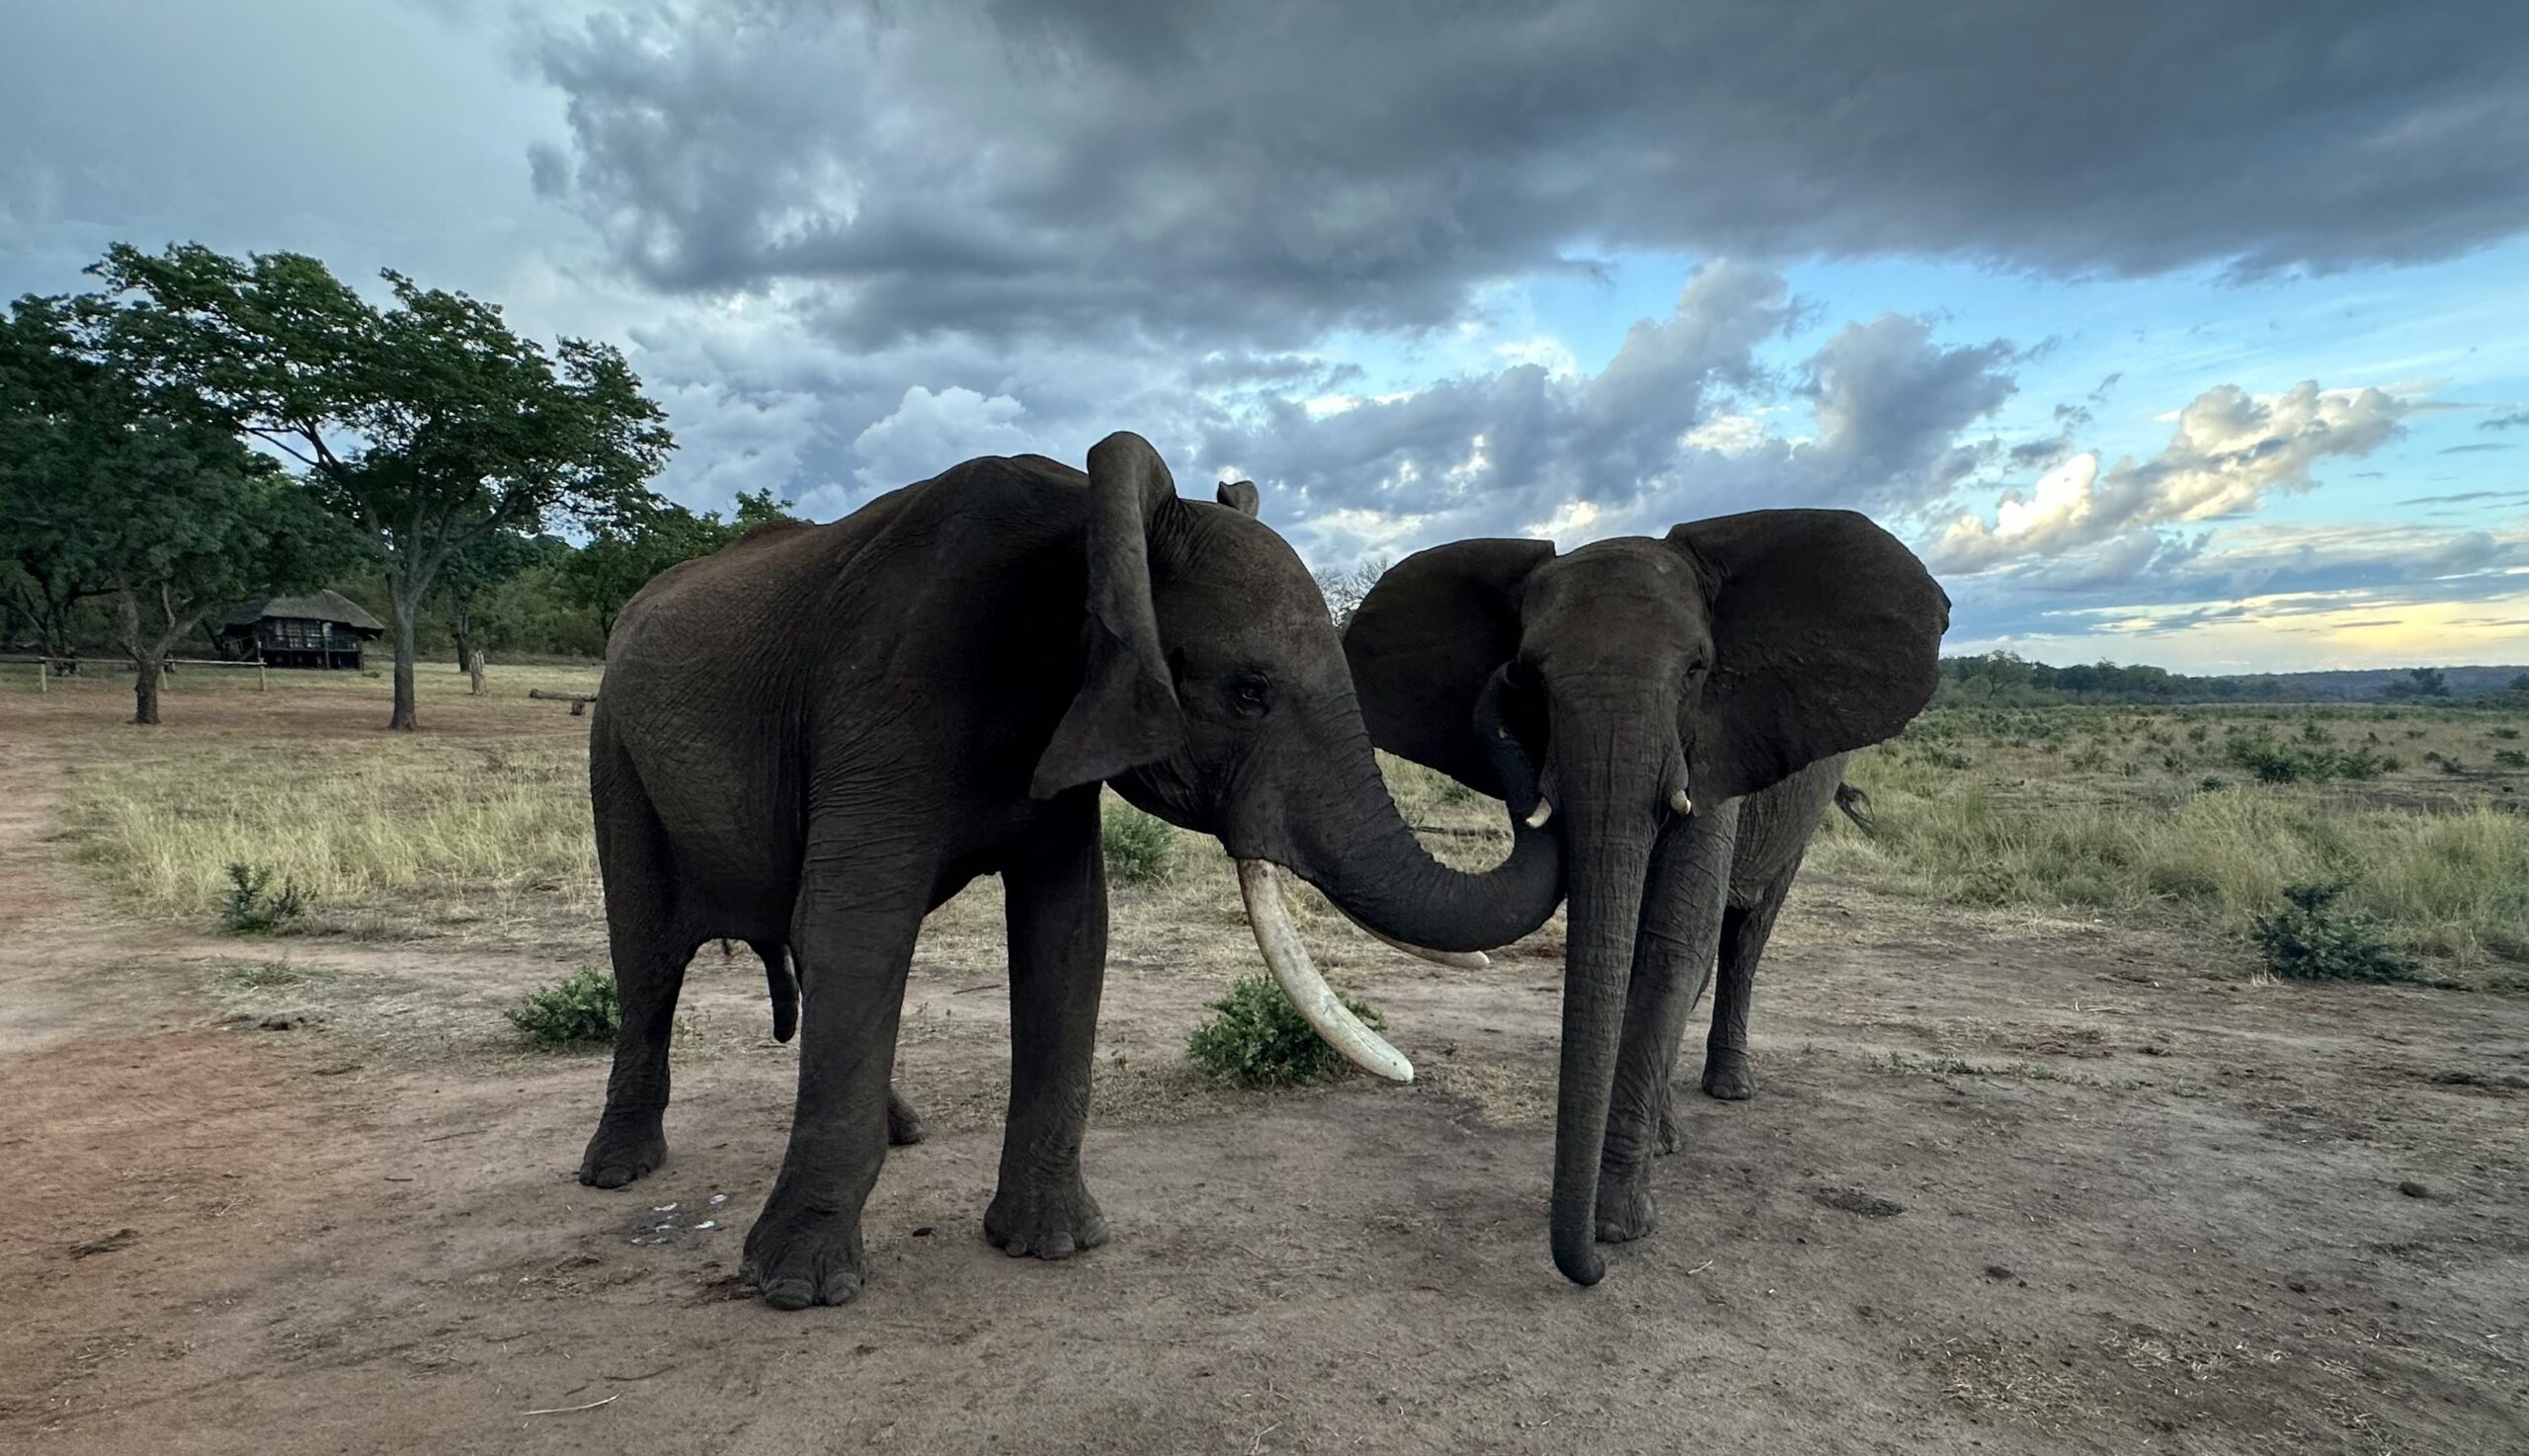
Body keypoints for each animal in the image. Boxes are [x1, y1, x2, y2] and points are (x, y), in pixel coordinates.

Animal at [579, 430, 1557, 1304]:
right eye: (1248, 693)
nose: (1515, 678)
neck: (1086, 529)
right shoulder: (883, 700)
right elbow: (860, 927)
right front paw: (796, 1288)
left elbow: (1068, 931)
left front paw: (1051, 1246)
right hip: (615, 746)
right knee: (650, 957)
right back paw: (619, 1172)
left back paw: (905, 1131)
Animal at [1345, 510, 1952, 1283]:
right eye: (1531, 678)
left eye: (1696, 670)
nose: (1500, 680)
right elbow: (1625, 944)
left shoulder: (1717, 750)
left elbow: (1670, 942)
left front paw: (1616, 1228)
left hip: (1804, 810)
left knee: (1746, 936)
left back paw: (1730, 1089)